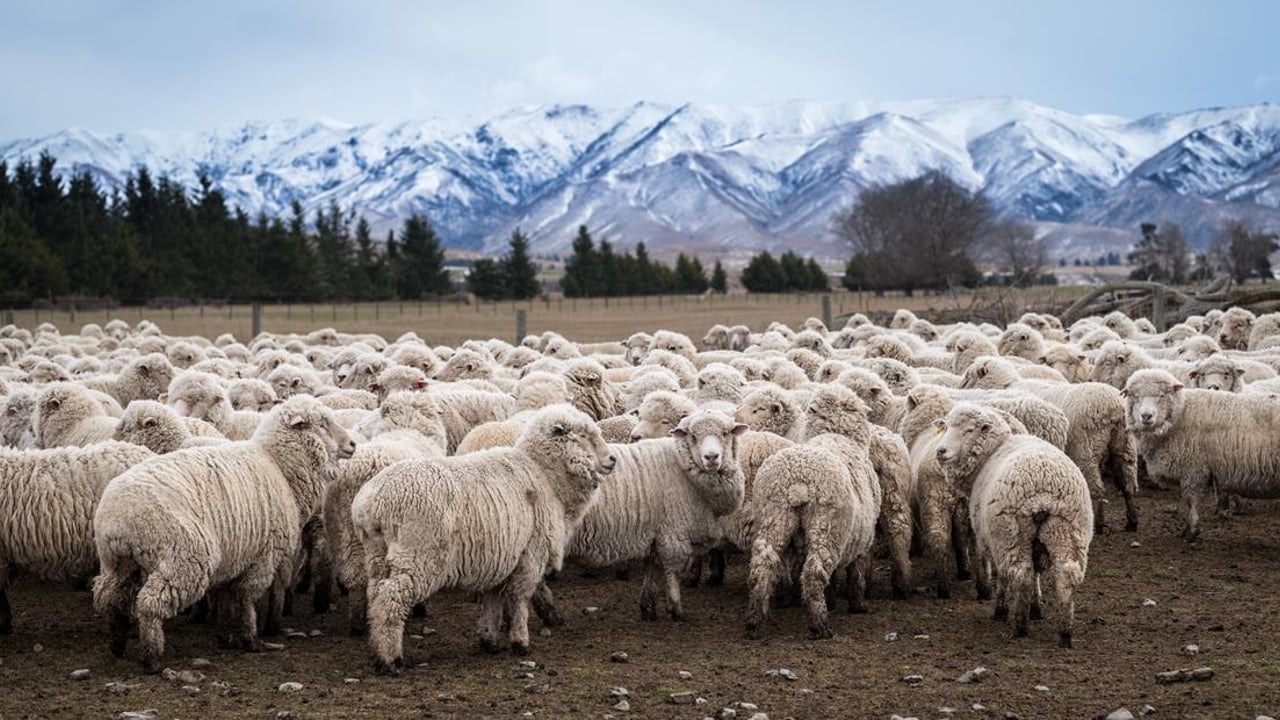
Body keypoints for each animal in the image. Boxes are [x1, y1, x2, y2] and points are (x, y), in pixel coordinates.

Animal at [92, 395, 356, 671]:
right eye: (322, 423)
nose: (352, 444)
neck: (279, 467)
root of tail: (117, 518)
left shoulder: (233, 556)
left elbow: (225, 599)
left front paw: (225, 636)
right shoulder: (263, 555)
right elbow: (246, 598)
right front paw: (250, 639)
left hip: (117, 562)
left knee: (110, 596)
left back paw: (117, 643)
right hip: (183, 558)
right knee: (149, 603)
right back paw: (151, 656)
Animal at [353, 405, 615, 671]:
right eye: (583, 436)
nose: (612, 459)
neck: (544, 475)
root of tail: (371, 502)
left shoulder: (500, 558)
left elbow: (493, 602)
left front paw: (489, 640)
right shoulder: (530, 554)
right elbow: (519, 599)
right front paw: (520, 641)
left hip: (376, 554)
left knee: (375, 595)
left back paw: (377, 650)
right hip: (417, 554)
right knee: (391, 599)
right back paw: (389, 659)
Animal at [746, 385, 881, 638]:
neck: (838, 435)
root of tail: (798, 479)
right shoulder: (863, 538)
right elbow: (855, 572)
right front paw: (857, 604)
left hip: (774, 516)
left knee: (762, 565)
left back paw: (755, 620)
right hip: (827, 527)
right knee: (814, 572)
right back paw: (820, 624)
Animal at [934, 403, 1092, 647]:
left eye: (969, 430)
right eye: (946, 427)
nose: (940, 451)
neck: (993, 452)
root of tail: (1043, 491)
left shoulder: (988, 537)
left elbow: (1001, 575)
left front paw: (1002, 607)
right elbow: (1037, 573)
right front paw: (1036, 608)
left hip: (1010, 534)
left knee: (1020, 574)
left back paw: (1018, 624)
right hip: (1067, 532)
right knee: (1065, 575)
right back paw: (1065, 633)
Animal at [1123, 369, 1280, 540]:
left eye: (1162, 395)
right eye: (1134, 395)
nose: (1146, 416)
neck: (1182, 412)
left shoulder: (1193, 468)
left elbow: (1191, 500)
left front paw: (1190, 531)